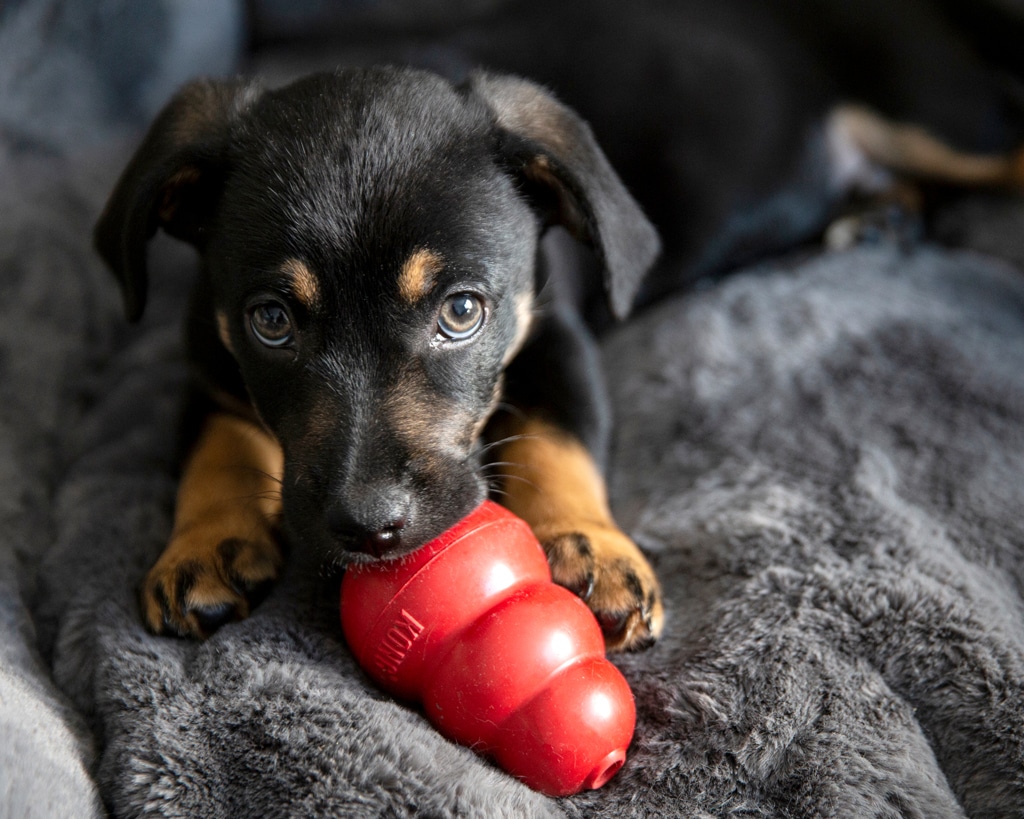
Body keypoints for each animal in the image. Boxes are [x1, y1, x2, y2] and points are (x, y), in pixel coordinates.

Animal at [94, 67, 663, 651]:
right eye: (271, 320)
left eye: (461, 311)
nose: (370, 527)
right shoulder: (208, 366)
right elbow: (218, 449)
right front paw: (203, 546)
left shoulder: (559, 341)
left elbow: (557, 439)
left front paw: (589, 544)